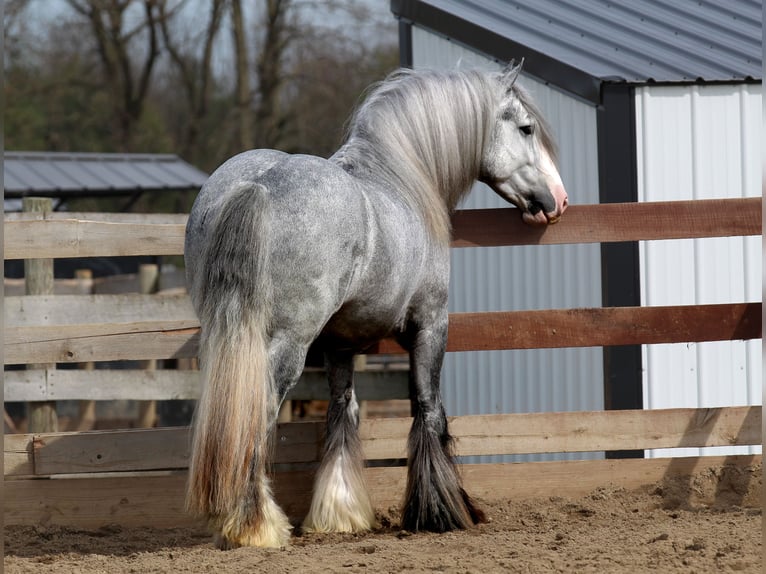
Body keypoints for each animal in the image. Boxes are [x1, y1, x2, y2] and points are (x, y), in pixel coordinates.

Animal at [183, 61, 568, 549]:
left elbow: (342, 411)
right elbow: (428, 408)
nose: (558, 199)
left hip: (226, 333)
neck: (400, 179)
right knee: (258, 412)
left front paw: (339, 513)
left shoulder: (340, 345)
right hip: (287, 343)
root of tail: (258, 184)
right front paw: (445, 510)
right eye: (526, 128)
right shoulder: (431, 325)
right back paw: (257, 525)